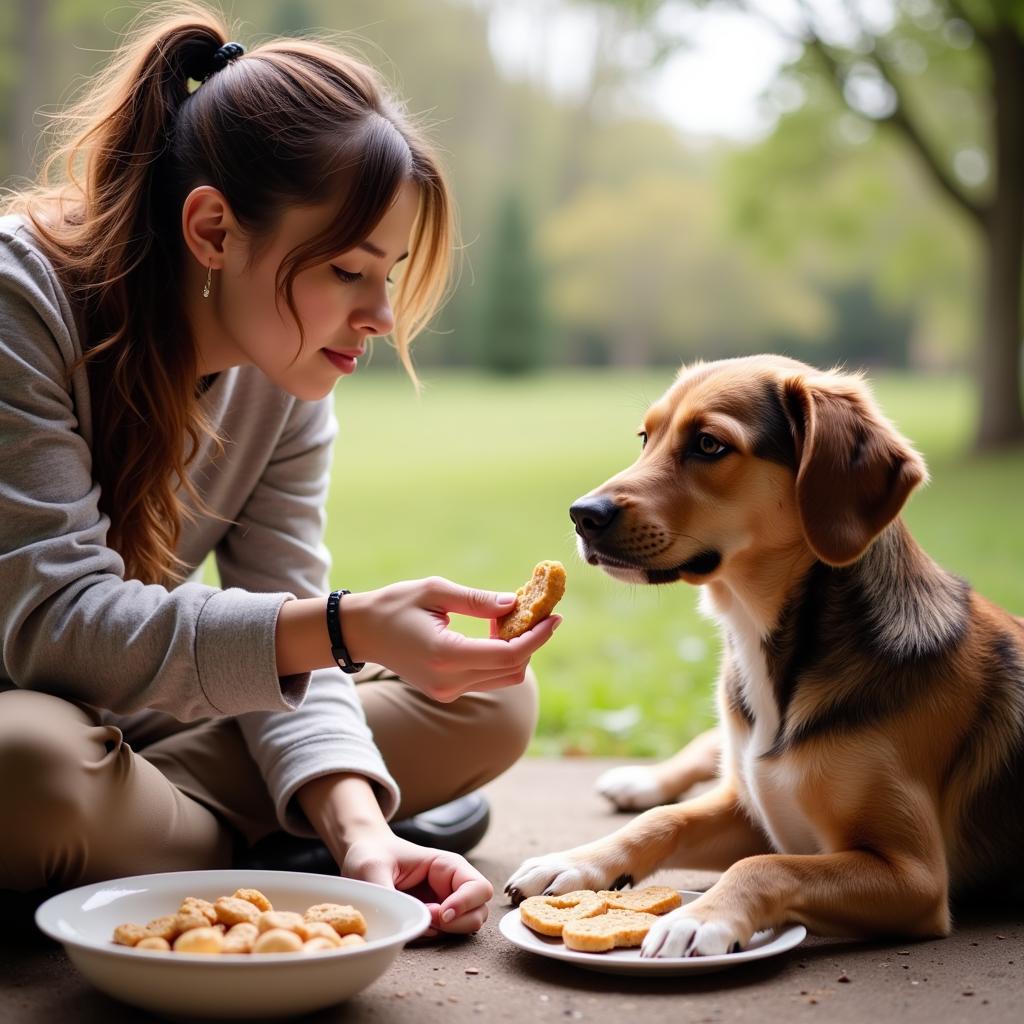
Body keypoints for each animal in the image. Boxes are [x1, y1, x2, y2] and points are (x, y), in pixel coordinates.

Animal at [505, 356, 1024, 954]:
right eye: (645, 437)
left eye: (708, 444)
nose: (581, 515)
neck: (761, 638)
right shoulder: (752, 807)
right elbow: (664, 820)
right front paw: (575, 861)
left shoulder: (913, 875)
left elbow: (765, 865)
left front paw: (699, 918)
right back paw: (639, 782)